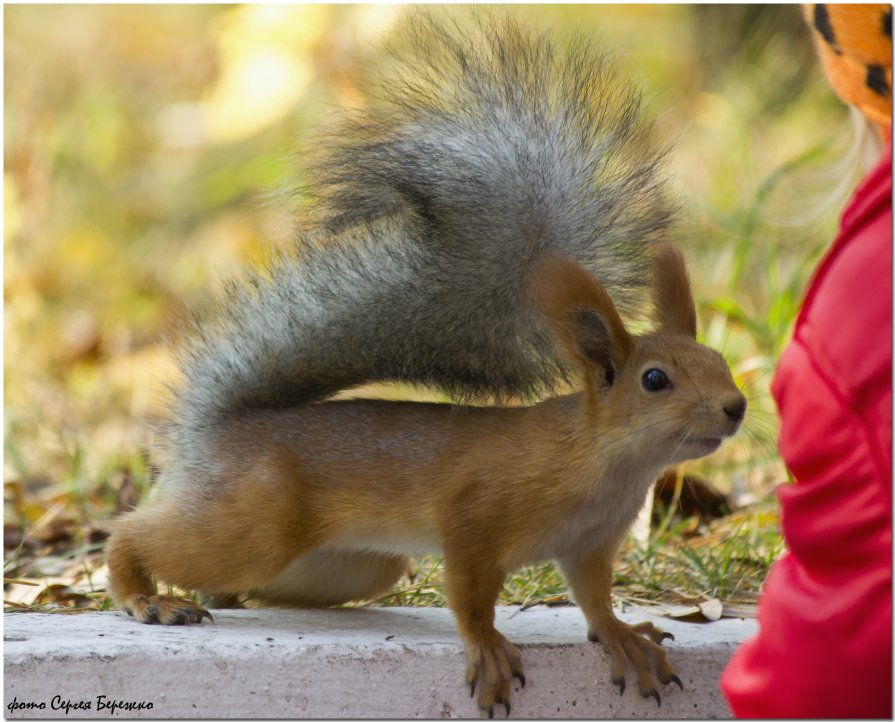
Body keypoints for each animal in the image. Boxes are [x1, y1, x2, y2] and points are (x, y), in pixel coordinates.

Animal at [107, 14, 748, 716]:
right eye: (655, 380)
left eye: (720, 362)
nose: (737, 407)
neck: (608, 462)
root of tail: (213, 432)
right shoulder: (474, 512)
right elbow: (469, 589)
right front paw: (487, 647)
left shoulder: (588, 546)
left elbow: (594, 598)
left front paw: (622, 636)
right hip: (255, 523)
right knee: (137, 535)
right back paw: (147, 595)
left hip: (349, 564)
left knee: (251, 583)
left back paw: (215, 598)